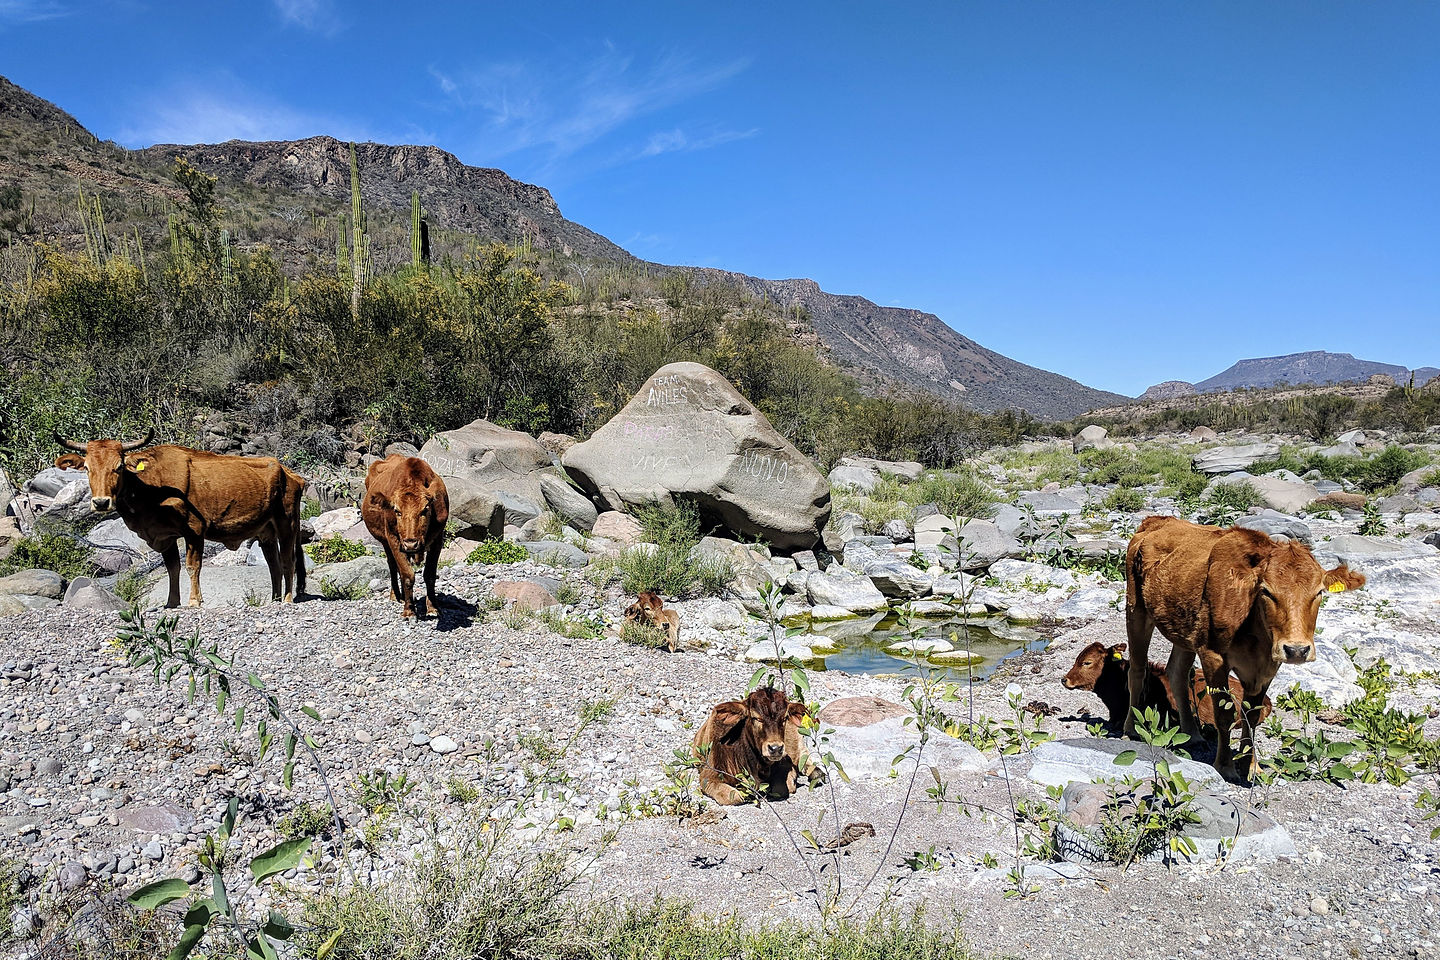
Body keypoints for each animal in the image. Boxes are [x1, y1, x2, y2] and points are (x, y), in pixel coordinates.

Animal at [55, 431, 307, 608]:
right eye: (87, 468)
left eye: (118, 467)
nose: (101, 502)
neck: (151, 490)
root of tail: (289, 472)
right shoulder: (164, 536)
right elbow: (173, 568)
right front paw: (172, 602)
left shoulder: (194, 531)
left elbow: (192, 566)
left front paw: (194, 601)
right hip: (266, 532)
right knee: (274, 564)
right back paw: (274, 599)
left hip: (287, 524)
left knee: (288, 561)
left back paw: (286, 599)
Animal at [361, 455, 449, 619]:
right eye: (397, 511)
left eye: (425, 510)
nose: (411, 544)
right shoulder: (393, 538)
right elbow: (407, 574)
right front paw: (409, 610)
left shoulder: (437, 538)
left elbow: (430, 574)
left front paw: (433, 607)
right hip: (385, 542)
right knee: (392, 565)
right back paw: (395, 595)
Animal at [692, 686, 825, 805]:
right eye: (756, 718)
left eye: (784, 718)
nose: (775, 748)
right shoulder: (708, 776)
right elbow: (733, 797)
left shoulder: (785, 761)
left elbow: (782, 787)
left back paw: (816, 773)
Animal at [1124, 516, 1363, 781]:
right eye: (1266, 591)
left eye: (1319, 592)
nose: (1297, 650)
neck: (1255, 632)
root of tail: (1156, 521)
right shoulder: (1213, 656)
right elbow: (1224, 714)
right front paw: (1226, 766)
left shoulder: (1267, 666)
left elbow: (1252, 715)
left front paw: (1251, 766)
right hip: (1136, 610)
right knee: (1137, 669)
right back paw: (1130, 729)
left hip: (1184, 630)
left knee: (1176, 673)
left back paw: (1193, 734)